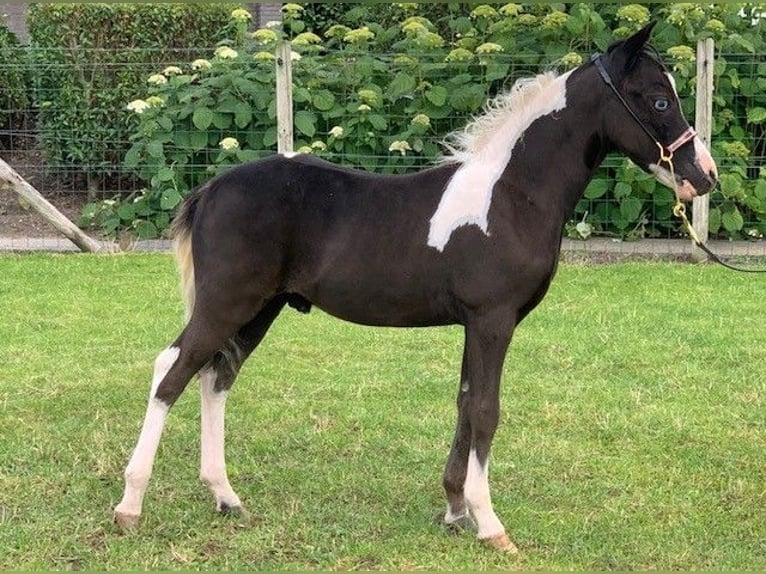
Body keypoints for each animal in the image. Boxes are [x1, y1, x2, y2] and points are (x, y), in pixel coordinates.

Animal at [114, 22, 717, 553]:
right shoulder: (493, 320)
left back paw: (226, 498)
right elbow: (487, 410)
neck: (510, 195)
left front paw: (454, 510)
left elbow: (465, 401)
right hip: (227, 302)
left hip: (260, 309)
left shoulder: (476, 324)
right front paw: (490, 525)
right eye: (658, 101)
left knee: (217, 376)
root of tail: (210, 189)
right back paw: (130, 507)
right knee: (172, 370)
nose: (703, 176)